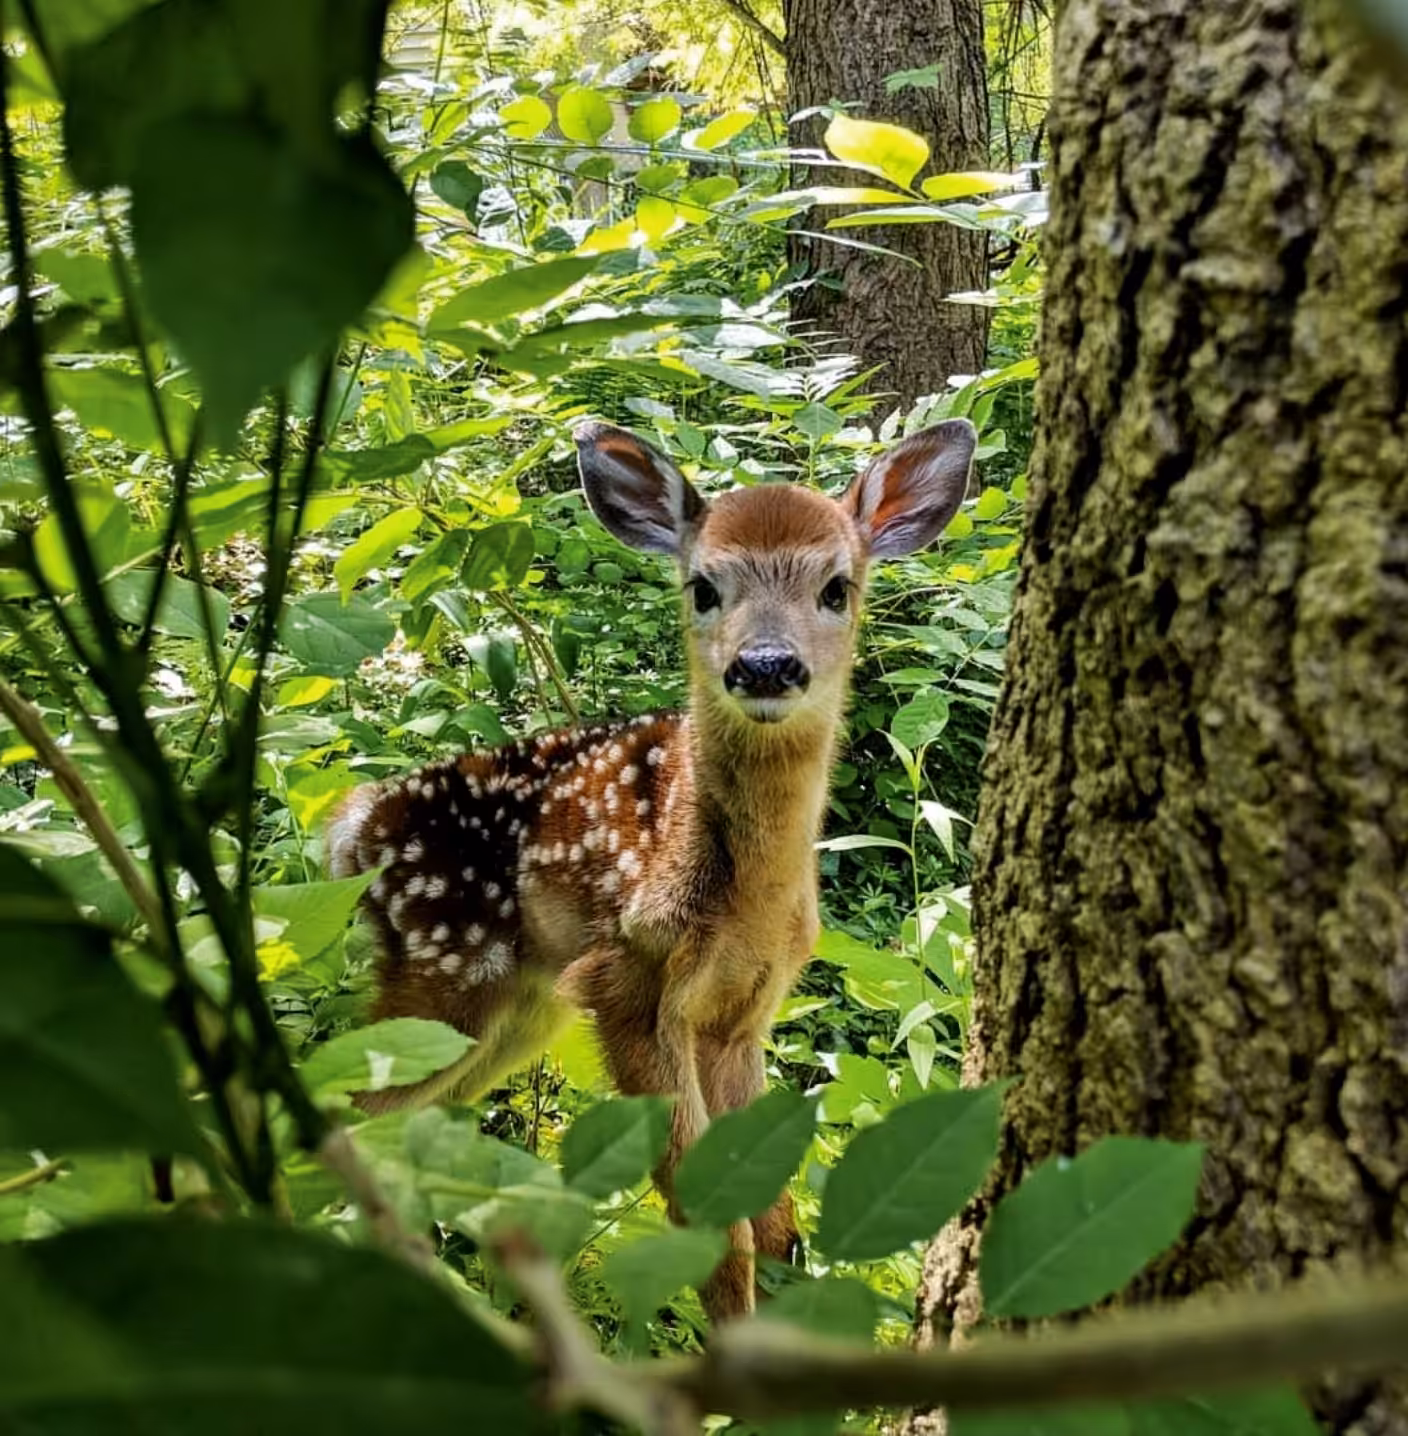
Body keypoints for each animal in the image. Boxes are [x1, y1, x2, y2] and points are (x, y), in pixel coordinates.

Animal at [325, 417, 977, 1320]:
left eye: (837, 588)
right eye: (703, 587)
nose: (765, 664)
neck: (745, 901)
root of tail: (352, 832)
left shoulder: (742, 1012)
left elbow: (774, 1220)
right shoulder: (628, 980)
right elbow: (719, 1235)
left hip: (519, 1007)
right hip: (447, 964)